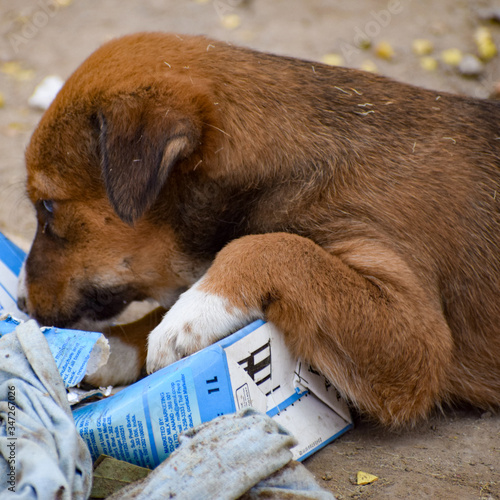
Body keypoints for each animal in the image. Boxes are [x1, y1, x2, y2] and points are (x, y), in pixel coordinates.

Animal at [17, 34, 498, 426]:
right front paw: (109, 347)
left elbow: (272, 245)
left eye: (47, 206)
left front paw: (191, 317)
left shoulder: (417, 339)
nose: (19, 302)